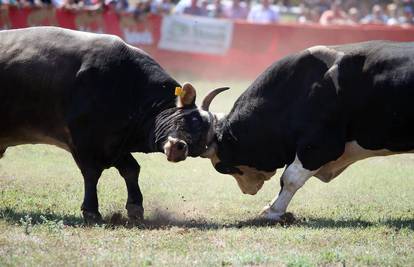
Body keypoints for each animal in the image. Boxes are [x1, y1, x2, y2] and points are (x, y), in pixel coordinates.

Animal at [0, 27, 230, 224]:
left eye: (201, 144)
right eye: (188, 120)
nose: (178, 148)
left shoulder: (114, 143)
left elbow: (131, 169)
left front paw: (135, 208)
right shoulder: (84, 141)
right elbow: (92, 173)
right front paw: (91, 211)